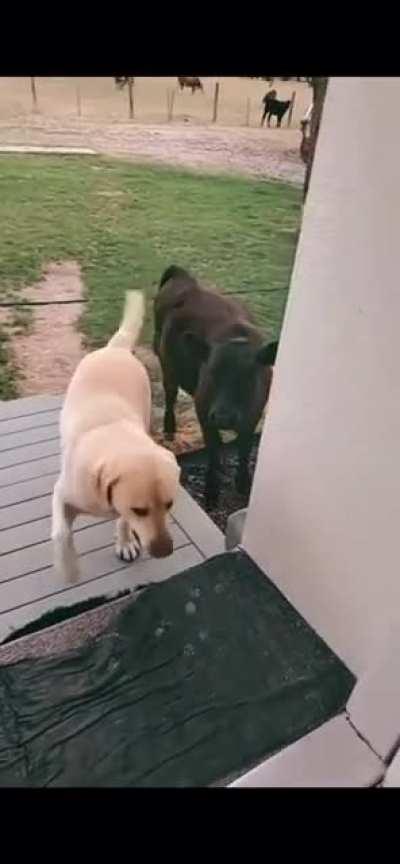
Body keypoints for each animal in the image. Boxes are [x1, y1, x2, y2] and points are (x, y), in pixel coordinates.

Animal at [52, 288, 180, 580]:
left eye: (169, 504)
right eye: (140, 510)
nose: (165, 551)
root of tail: (116, 348)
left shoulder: (120, 506)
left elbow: (122, 521)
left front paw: (125, 542)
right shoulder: (62, 493)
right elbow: (61, 534)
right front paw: (69, 569)